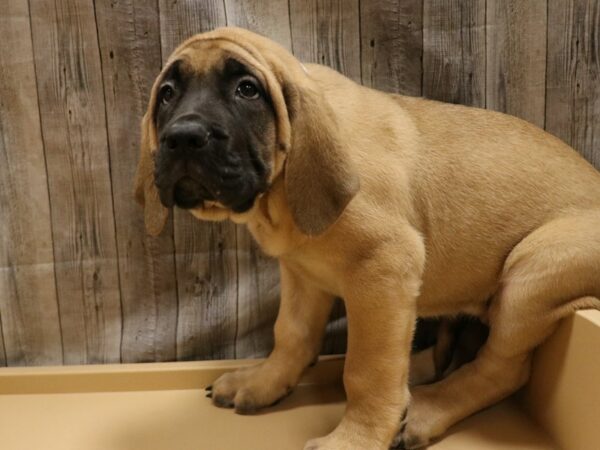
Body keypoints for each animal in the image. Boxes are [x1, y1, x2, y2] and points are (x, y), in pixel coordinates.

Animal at [135, 27, 600, 446]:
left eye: (247, 90)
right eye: (167, 93)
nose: (183, 137)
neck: (281, 193)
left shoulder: (384, 270)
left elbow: (367, 369)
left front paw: (356, 437)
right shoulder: (302, 274)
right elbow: (292, 334)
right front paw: (265, 382)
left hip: (532, 271)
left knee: (502, 368)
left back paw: (423, 410)